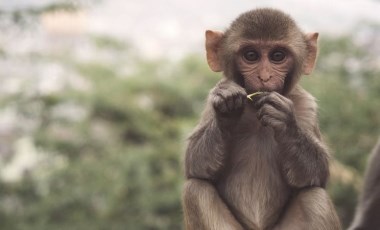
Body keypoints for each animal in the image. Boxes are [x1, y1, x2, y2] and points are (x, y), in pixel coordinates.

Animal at [182, 8, 342, 229]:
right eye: (251, 55)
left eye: (277, 56)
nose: (264, 77)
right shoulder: (209, 102)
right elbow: (195, 164)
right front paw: (226, 110)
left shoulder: (306, 105)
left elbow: (317, 174)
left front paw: (285, 122)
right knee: (196, 189)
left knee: (314, 196)